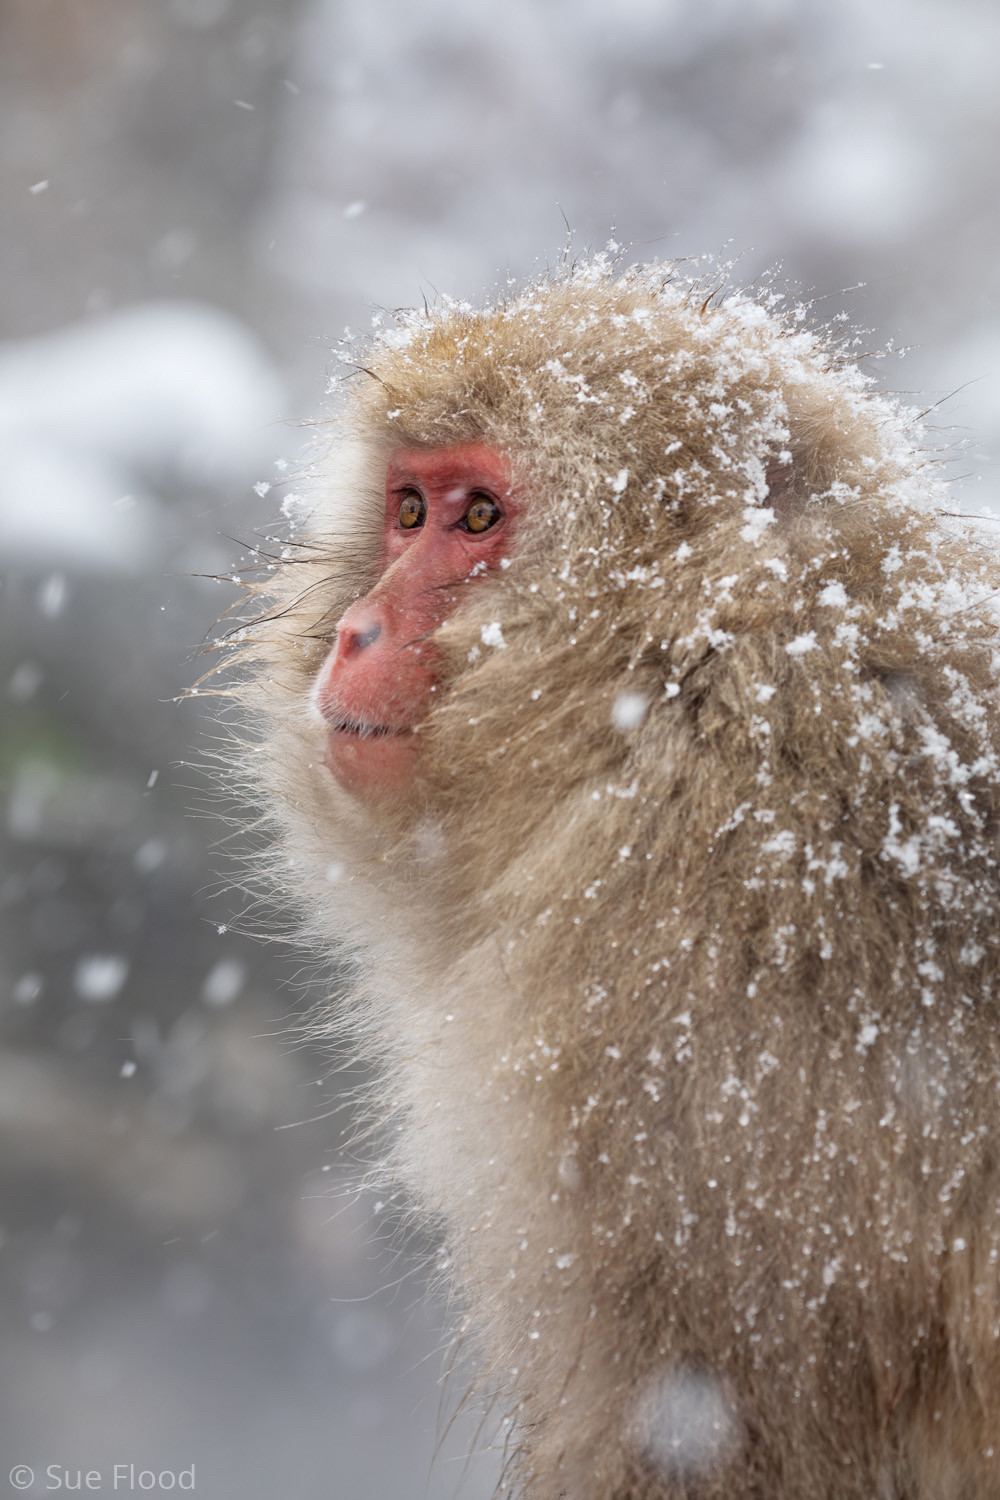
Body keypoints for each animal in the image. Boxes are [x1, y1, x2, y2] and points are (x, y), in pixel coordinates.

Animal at [232, 264, 1000, 1494]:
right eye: (409, 510)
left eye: (479, 518)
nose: (354, 632)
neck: (680, 676)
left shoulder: (688, 1008)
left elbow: (709, 1419)